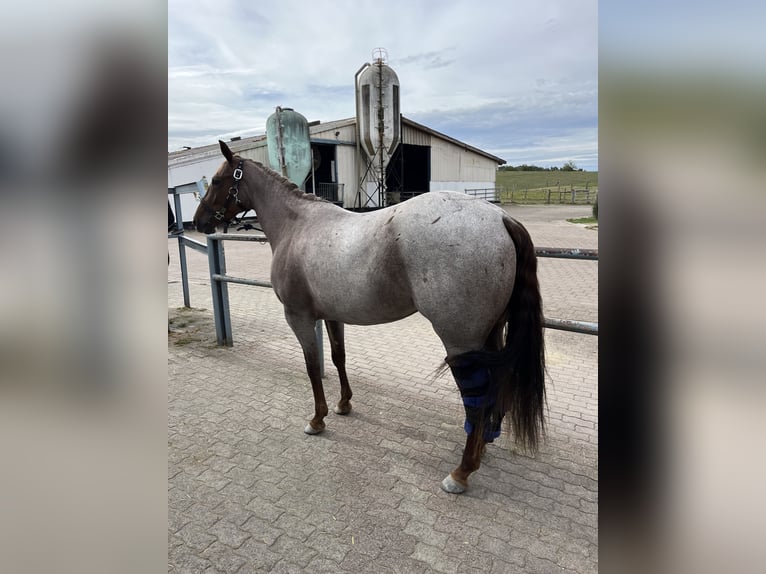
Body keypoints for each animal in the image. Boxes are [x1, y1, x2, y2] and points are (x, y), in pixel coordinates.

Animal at [193, 140, 546, 494]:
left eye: (216, 180)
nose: (199, 221)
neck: (298, 226)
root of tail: (500, 218)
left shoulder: (300, 317)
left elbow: (312, 367)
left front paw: (317, 419)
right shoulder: (332, 316)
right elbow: (338, 358)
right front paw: (344, 404)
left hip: (461, 344)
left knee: (478, 398)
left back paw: (461, 472)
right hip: (489, 337)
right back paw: (484, 441)